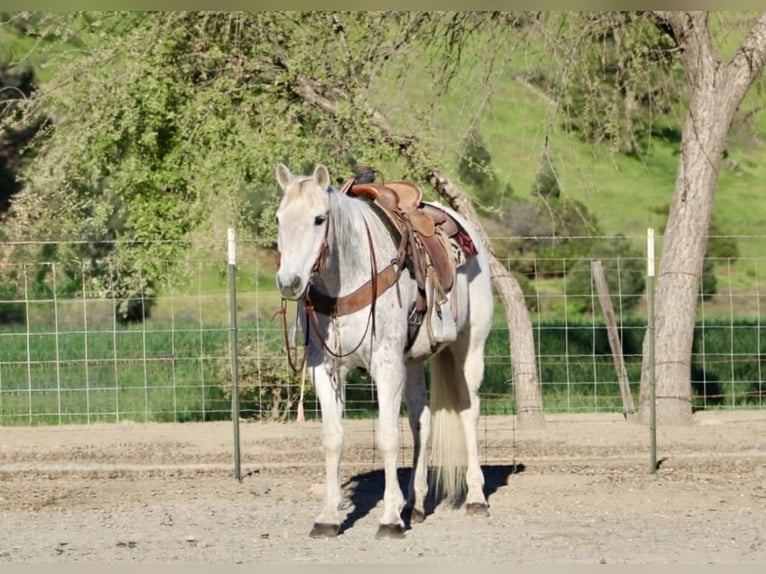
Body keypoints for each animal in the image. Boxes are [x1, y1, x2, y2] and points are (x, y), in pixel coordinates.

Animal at [274, 163, 494, 539]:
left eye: (319, 219)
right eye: (279, 218)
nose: (289, 282)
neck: (346, 279)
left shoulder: (386, 365)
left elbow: (389, 436)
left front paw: (389, 519)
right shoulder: (325, 369)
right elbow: (333, 438)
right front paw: (328, 517)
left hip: (469, 349)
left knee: (469, 412)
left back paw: (476, 498)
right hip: (414, 360)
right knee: (422, 420)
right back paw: (416, 504)